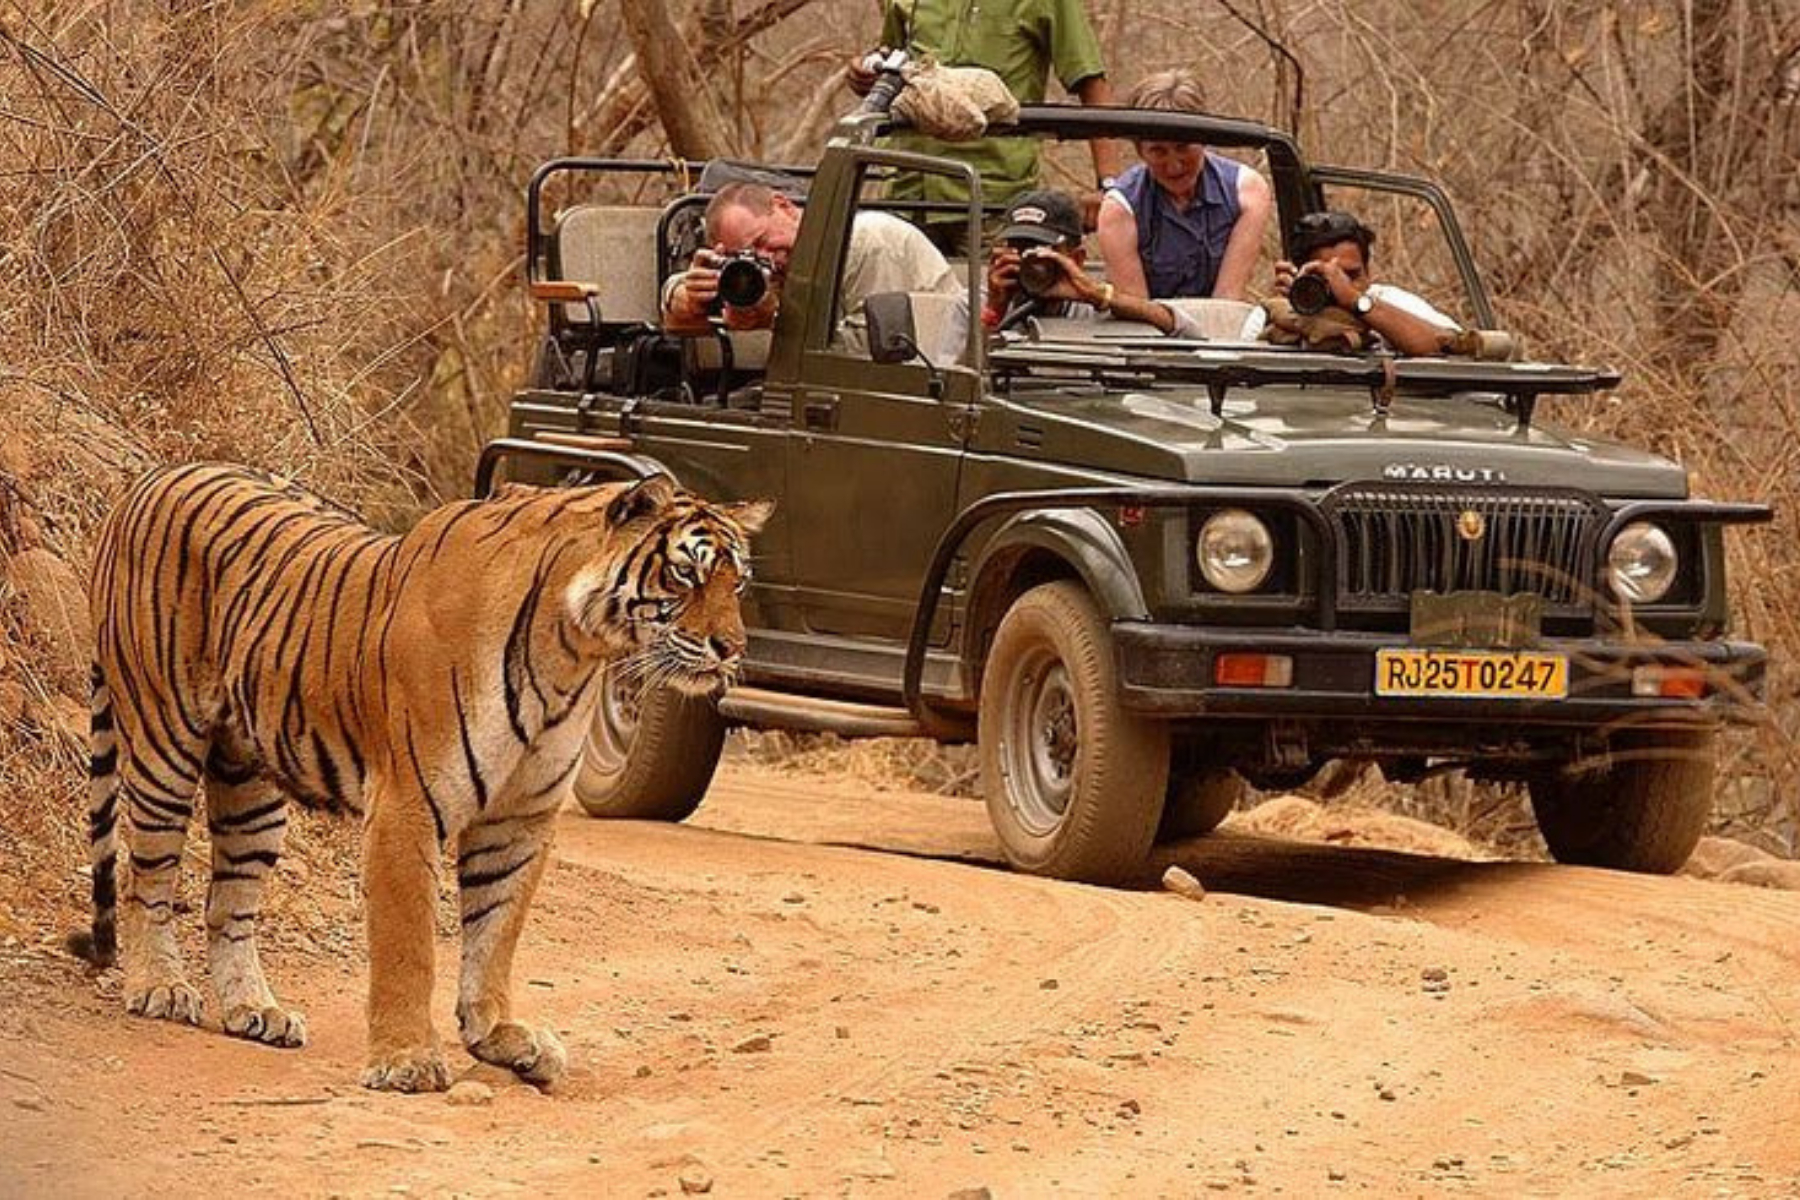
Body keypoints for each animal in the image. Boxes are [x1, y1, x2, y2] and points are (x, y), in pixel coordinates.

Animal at [67, 463, 770, 1093]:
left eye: (737, 583)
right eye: (685, 572)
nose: (732, 649)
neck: (572, 651)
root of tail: (147, 480)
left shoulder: (518, 818)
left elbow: (495, 933)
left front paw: (499, 1036)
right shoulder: (408, 805)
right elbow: (410, 944)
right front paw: (405, 1060)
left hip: (251, 783)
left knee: (228, 901)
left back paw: (254, 1011)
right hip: (163, 743)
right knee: (146, 878)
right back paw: (160, 987)